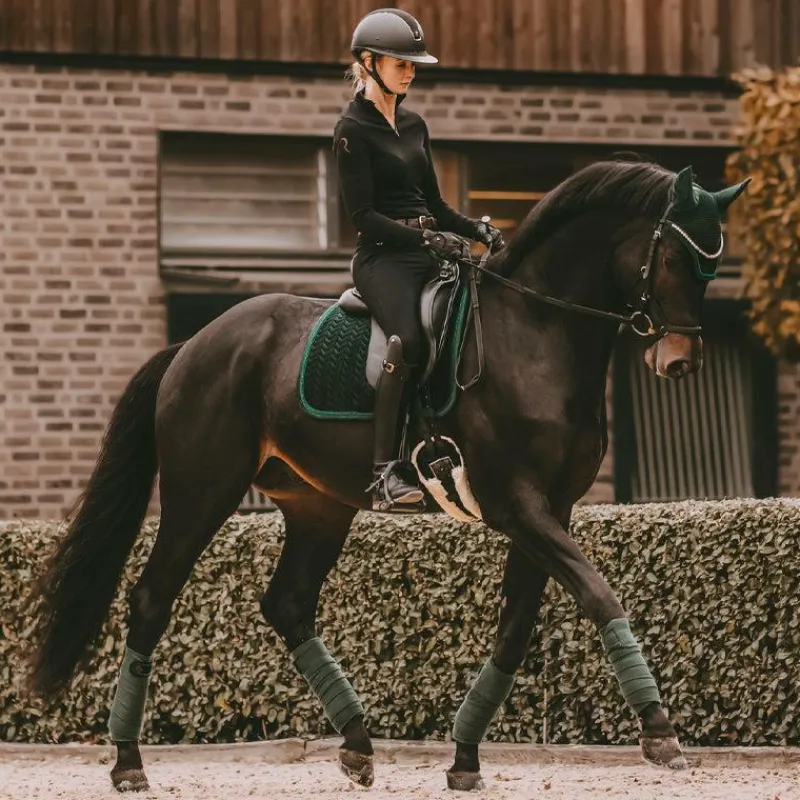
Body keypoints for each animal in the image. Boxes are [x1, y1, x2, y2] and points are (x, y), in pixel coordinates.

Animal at [25, 159, 748, 792]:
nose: (680, 360)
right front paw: (659, 732)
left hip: (317, 506)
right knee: (152, 600)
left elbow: (516, 630)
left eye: (713, 267)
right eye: (676, 258)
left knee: (287, 603)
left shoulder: (552, 509)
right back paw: (128, 763)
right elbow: (600, 594)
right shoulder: (517, 504)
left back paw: (357, 745)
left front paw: (463, 760)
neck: (537, 332)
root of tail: (193, 344)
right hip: (201, 493)